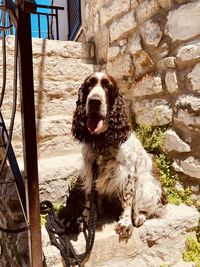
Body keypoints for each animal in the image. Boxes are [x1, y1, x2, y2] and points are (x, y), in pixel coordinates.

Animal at [71, 72, 164, 240]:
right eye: (89, 85)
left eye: (107, 86)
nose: (94, 101)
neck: (101, 141)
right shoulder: (90, 169)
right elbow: (89, 197)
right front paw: (85, 218)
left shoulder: (127, 173)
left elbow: (127, 200)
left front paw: (125, 224)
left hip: (145, 186)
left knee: (145, 207)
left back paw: (138, 217)